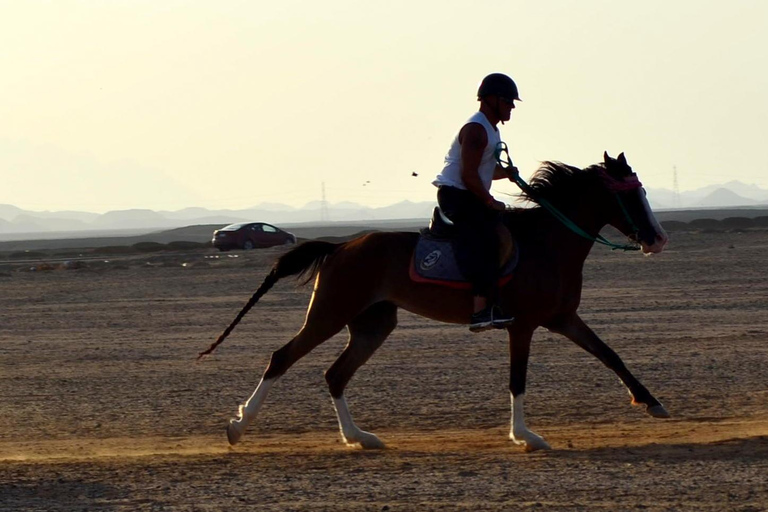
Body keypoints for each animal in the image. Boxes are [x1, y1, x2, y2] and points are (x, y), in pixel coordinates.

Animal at [201, 151, 668, 452]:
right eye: (630, 195)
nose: (657, 239)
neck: (547, 243)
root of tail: (340, 247)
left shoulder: (564, 318)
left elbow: (610, 355)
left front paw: (652, 403)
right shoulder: (522, 325)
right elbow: (517, 380)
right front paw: (526, 436)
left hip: (373, 324)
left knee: (335, 374)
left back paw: (359, 438)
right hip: (330, 313)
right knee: (282, 358)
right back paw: (239, 427)